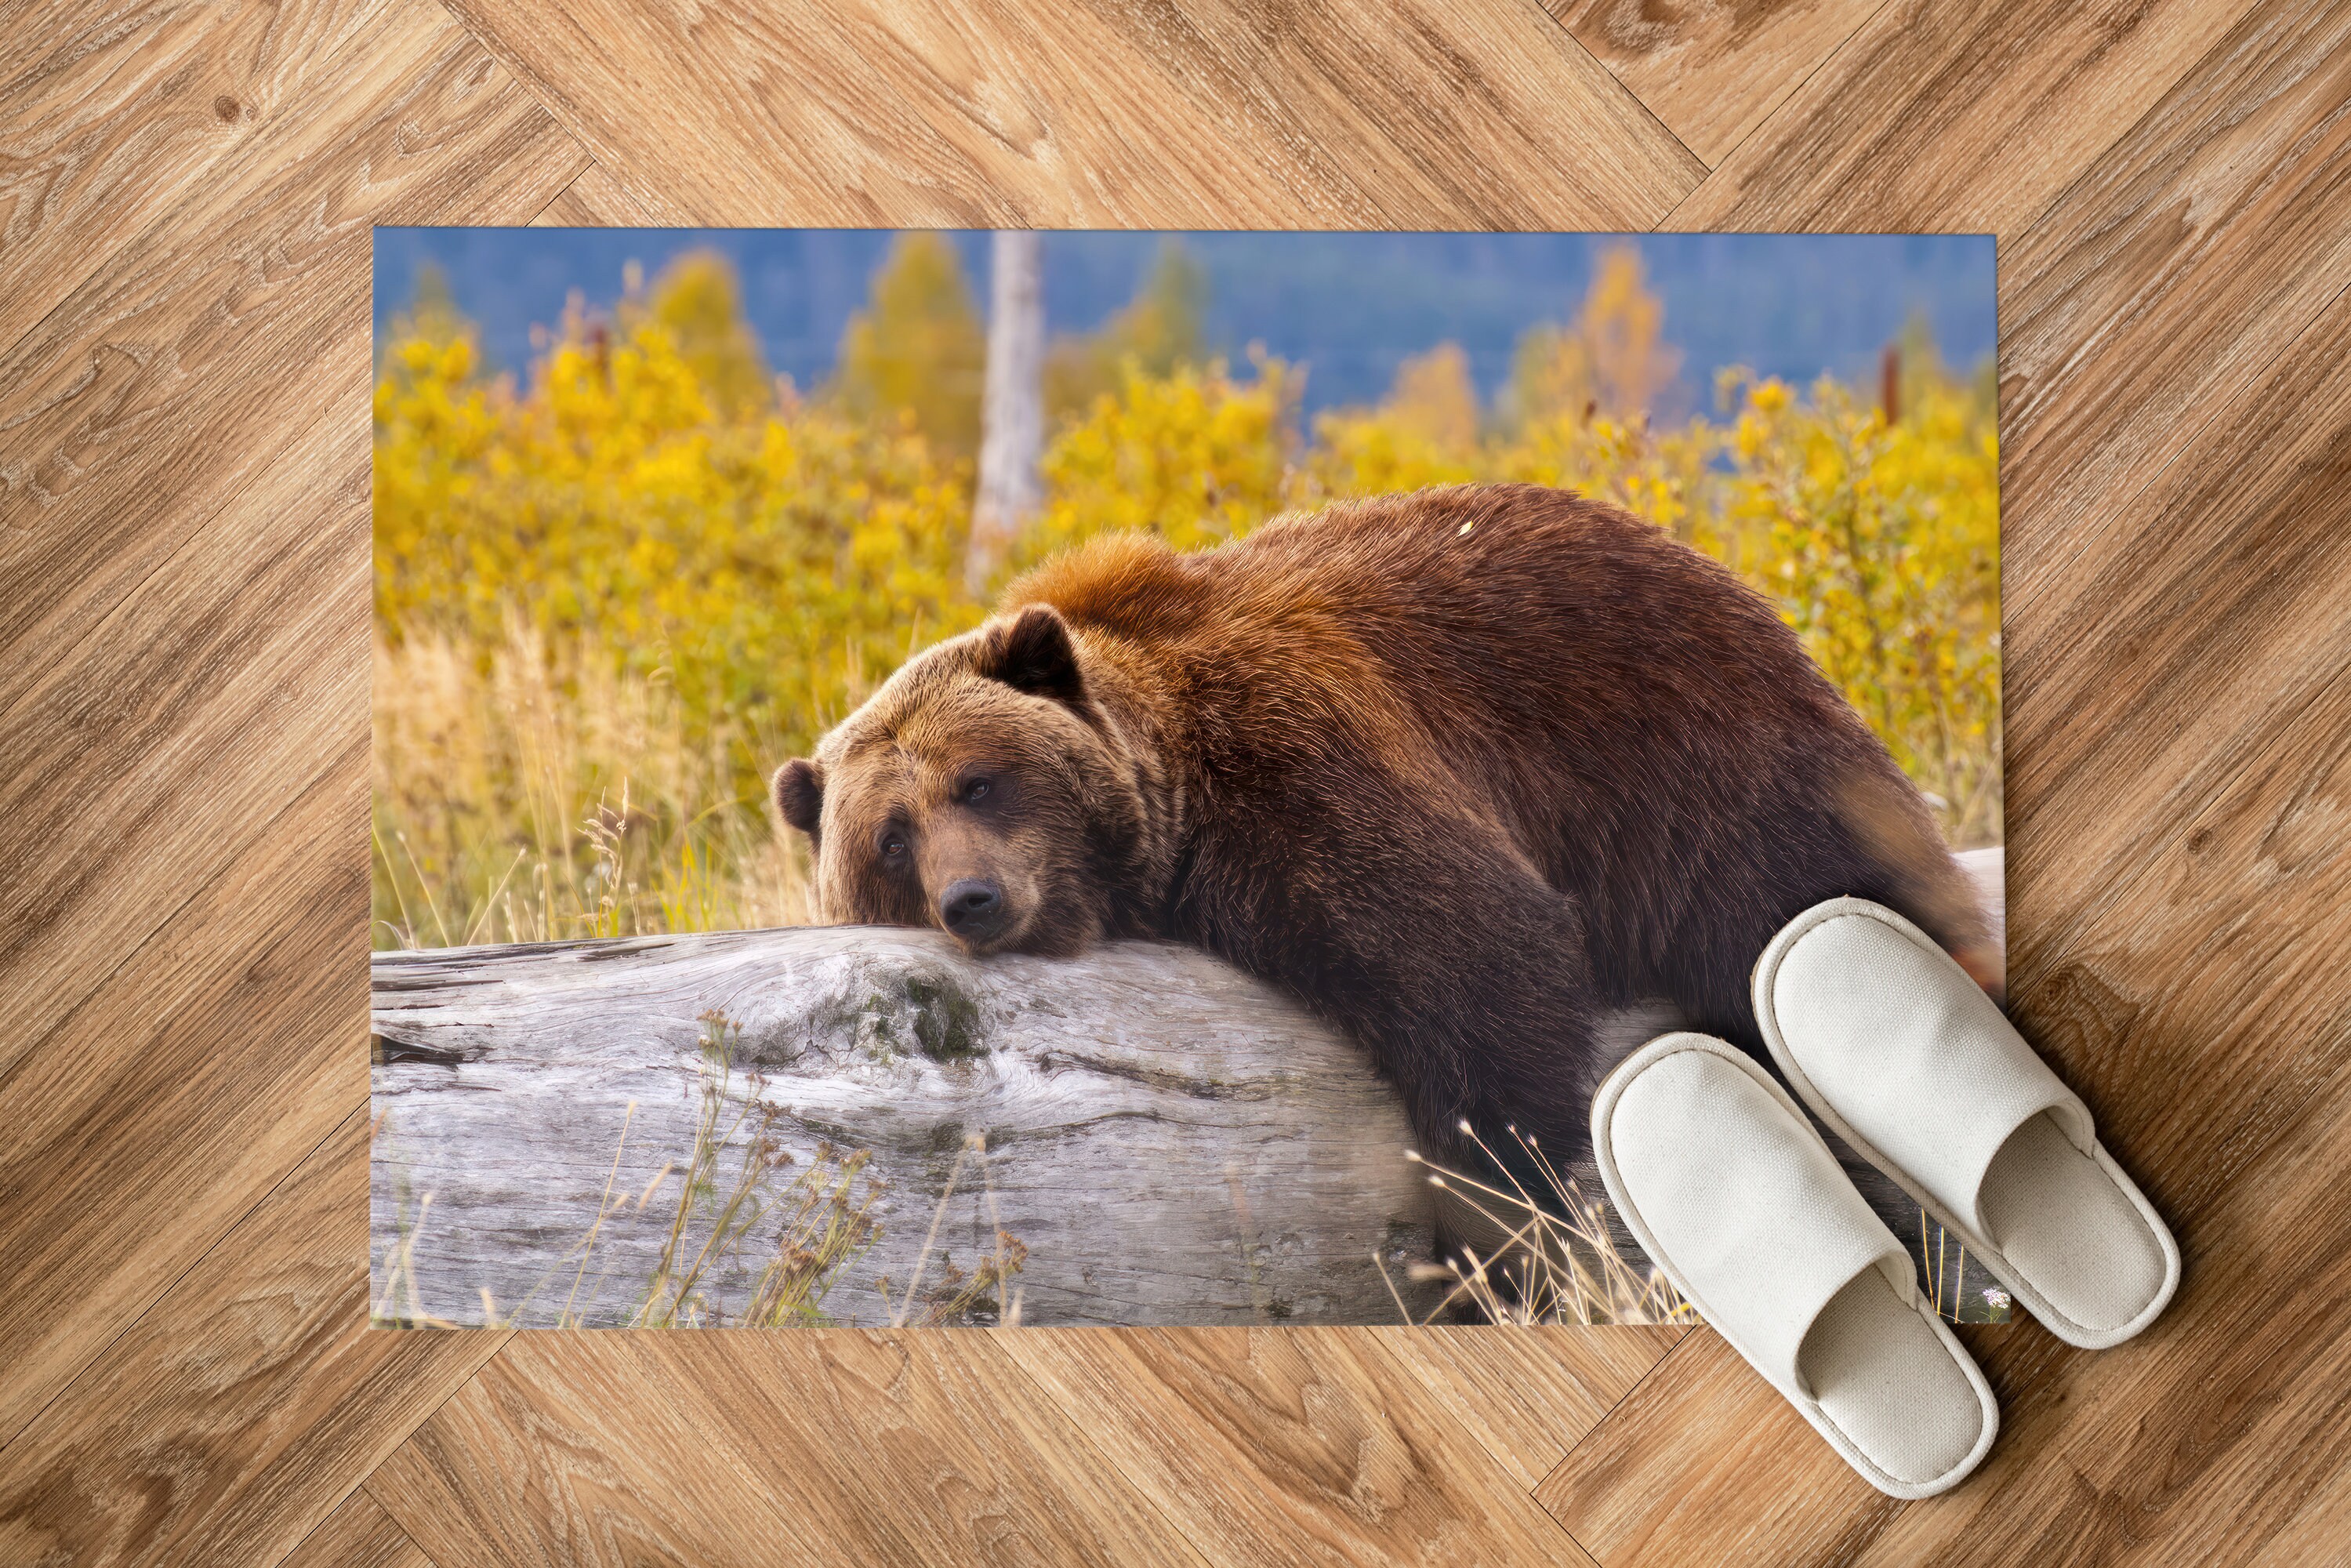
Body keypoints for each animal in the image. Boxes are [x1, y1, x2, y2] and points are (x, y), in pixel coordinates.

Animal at [772, 482, 1991, 1185]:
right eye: (889, 838)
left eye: (978, 781)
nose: (972, 899)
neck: (1180, 799)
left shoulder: (1298, 757)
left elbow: (1473, 948)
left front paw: (1507, 1195)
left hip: (1701, 767)